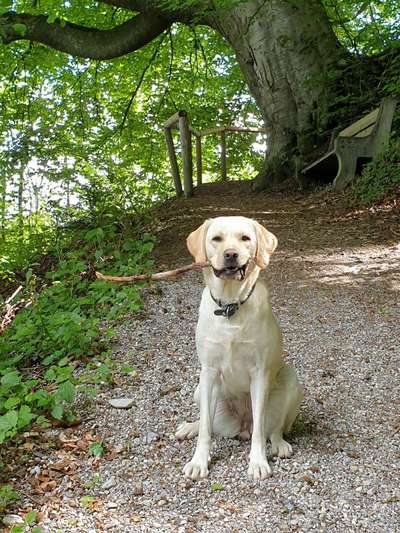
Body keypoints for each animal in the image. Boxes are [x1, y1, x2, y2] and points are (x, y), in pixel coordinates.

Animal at [175, 214, 304, 480]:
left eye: (245, 238)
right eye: (216, 239)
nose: (231, 254)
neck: (230, 306)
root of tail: (242, 425)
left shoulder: (260, 372)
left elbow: (260, 431)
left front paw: (258, 462)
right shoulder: (209, 370)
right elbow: (205, 429)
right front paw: (199, 461)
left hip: (290, 379)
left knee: (273, 429)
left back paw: (279, 444)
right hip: (199, 387)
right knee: (208, 422)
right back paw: (190, 427)